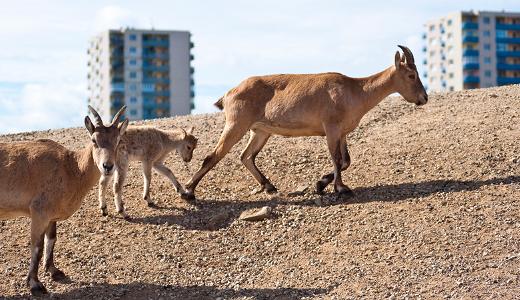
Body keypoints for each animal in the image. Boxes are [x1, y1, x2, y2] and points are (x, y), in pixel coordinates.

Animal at [183, 44, 426, 200]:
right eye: (411, 75)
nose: (424, 98)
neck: (355, 90)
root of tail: (229, 93)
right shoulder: (331, 128)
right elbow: (337, 159)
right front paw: (340, 189)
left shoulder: (342, 133)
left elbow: (346, 160)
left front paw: (321, 184)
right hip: (236, 124)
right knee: (213, 156)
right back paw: (188, 192)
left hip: (260, 131)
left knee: (246, 156)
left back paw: (269, 186)